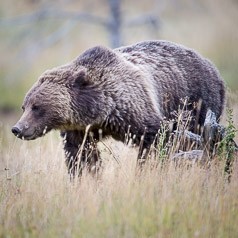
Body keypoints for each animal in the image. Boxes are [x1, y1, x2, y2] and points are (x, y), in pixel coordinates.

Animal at [11, 41, 225, 175]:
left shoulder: (136, 112)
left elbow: (155, 142)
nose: (18, 128)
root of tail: (213, 67)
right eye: (24, 106)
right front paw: (86, 178)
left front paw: (146, 171)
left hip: (198, 103)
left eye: (37, 107)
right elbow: (81, 156)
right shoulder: (80, 130)